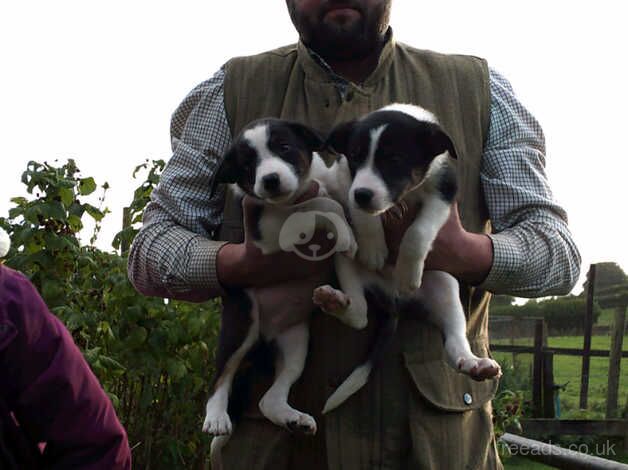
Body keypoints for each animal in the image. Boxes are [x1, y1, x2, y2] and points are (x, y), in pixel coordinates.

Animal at [201, 119, 358, 442]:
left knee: (269, 398)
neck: (291, 198)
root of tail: (266, 334)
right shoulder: (270, 237)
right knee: (222, 374)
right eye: (248, 165)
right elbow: (320, 203)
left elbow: (325, 197)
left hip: (296, 340)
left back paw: (293, 418)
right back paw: (217, 418)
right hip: (241, 321)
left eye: (284, 147)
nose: (270, 180)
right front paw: (345, 234)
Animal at [314, 104, 500, 414]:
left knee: (455, 342)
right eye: (355, 157)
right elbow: (360, 212)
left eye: (395, 159)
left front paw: (408, 272)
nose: (363, 194)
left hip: (446, 286)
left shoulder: (443, 192)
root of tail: (395, 302)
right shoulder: (344, 182)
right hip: (344, 260)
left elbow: (418, 231)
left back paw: (473, 363)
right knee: (359, 314)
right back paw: (335, 301)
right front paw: (374, 247)